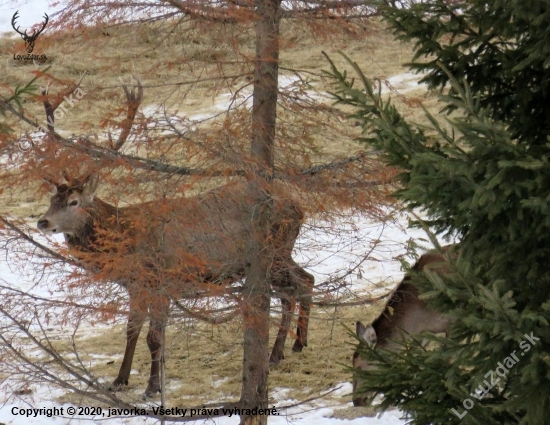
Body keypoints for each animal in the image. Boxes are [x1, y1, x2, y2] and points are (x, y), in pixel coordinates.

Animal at [37, 171, 314, 396]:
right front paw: (118, 381)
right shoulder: (137, 287)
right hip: (274, 257)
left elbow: (154, 338)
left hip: (273, 252)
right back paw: (283, 351)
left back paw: (293, 345)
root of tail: (299, 203)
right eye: (51, 201)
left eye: (73, 202)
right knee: (296, 286)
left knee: (303, 282)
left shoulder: (161, 284)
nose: (42, 222)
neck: (123, 240)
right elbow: (131, 332)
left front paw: (152, 388)